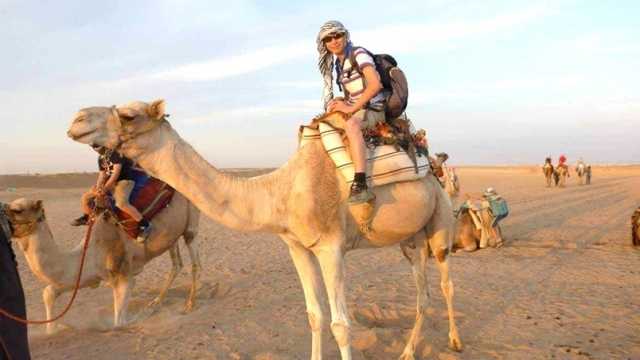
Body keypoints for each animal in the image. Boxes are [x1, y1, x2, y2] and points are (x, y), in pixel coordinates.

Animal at [3, 195, 200, 334]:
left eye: (18, 209)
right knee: (176, 264)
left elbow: (118, 323)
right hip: (172, 237)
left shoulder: (124, 275)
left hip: (190, 224)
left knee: (195, 261)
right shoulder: (86, 276)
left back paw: (189, 305)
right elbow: (49, 292)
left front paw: (138, 319)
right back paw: (156, 302)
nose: (2, 209)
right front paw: (54, 329)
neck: (92, 249)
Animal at [67, 99, 462, 360]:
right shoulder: (298, 246)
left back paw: (455, 341)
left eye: (128, 115)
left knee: (445, 282)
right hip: (410, 241)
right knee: (422, 295)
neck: (282, 192)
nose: (77, 118)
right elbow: (315, 316)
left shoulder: (331, 248)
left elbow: (341, 324)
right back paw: (408, 352)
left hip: (440, 220)